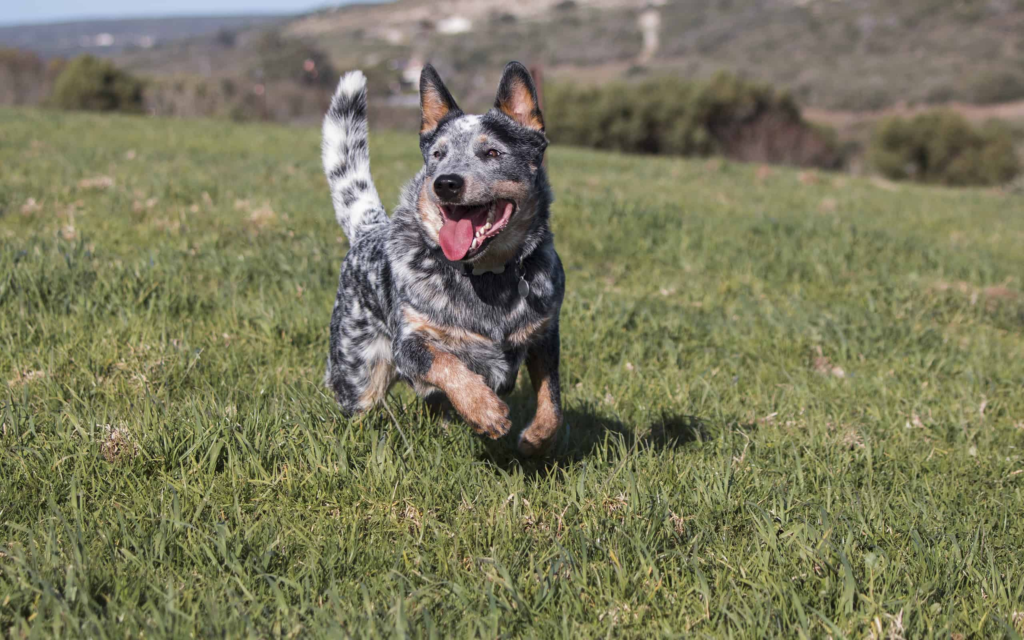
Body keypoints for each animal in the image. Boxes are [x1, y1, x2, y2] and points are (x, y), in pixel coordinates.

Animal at [319, 61, 565, 454]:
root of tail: (369, 229)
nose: (446, 182)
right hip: (358, 373)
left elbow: (552, 400)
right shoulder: (409, 342)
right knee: (363, 405)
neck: (488, 277)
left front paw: (535, 439)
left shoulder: (545, 334)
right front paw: (484, 409)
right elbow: (446, 362)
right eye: (437, 155)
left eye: (492, 153)